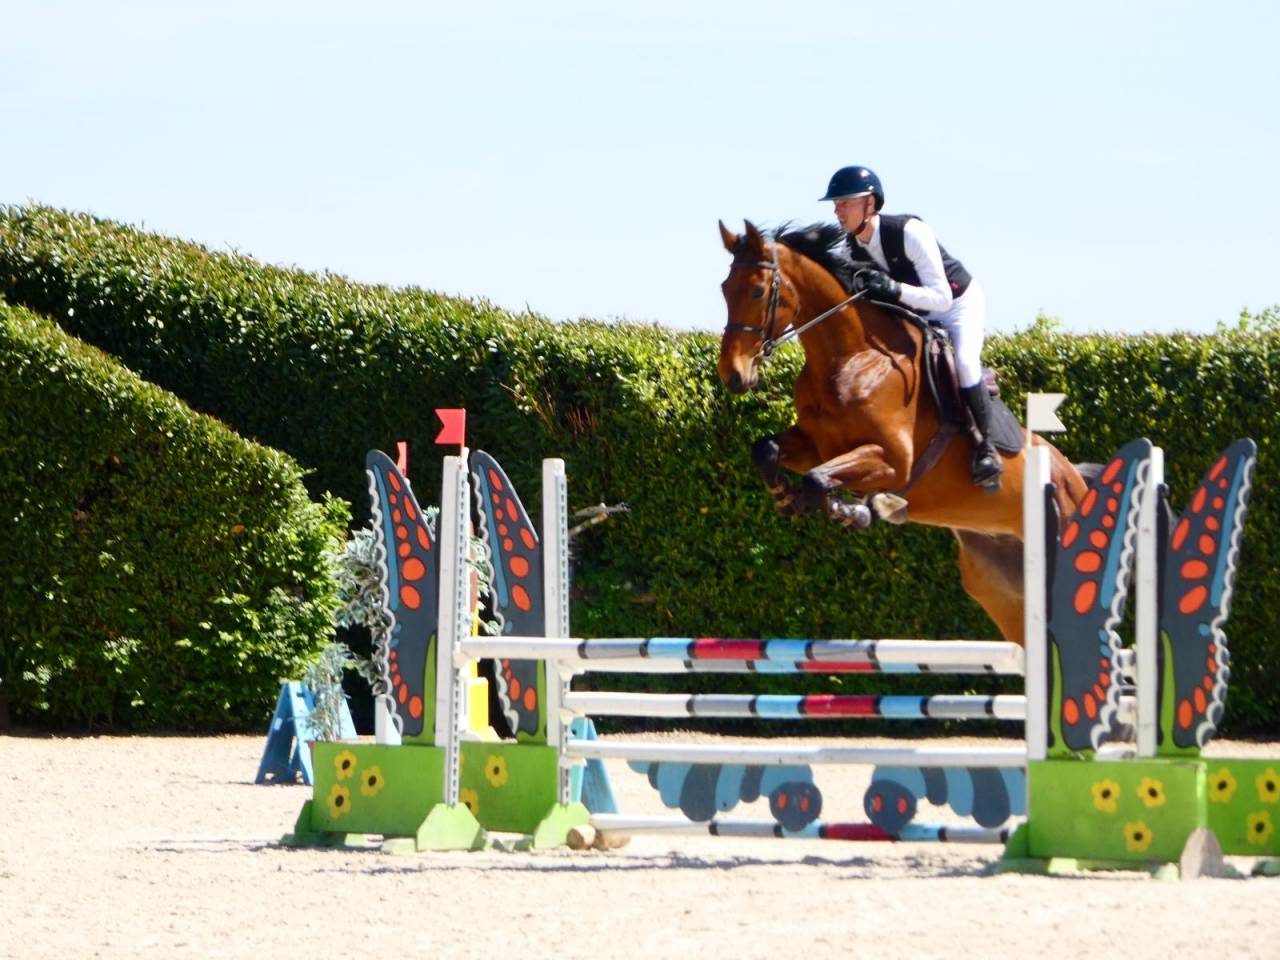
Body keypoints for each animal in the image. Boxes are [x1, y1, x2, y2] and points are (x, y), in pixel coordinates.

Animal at [717, 219, 1088, 646]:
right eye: (724, 288)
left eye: (757, 290)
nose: (734, 375)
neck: (853, 359)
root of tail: (1073, 477)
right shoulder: (816, 445)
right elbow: (769, 451)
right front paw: (788, 499)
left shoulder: (894, 461)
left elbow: (817, 480)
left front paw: (857, 511)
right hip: (1000, 586)